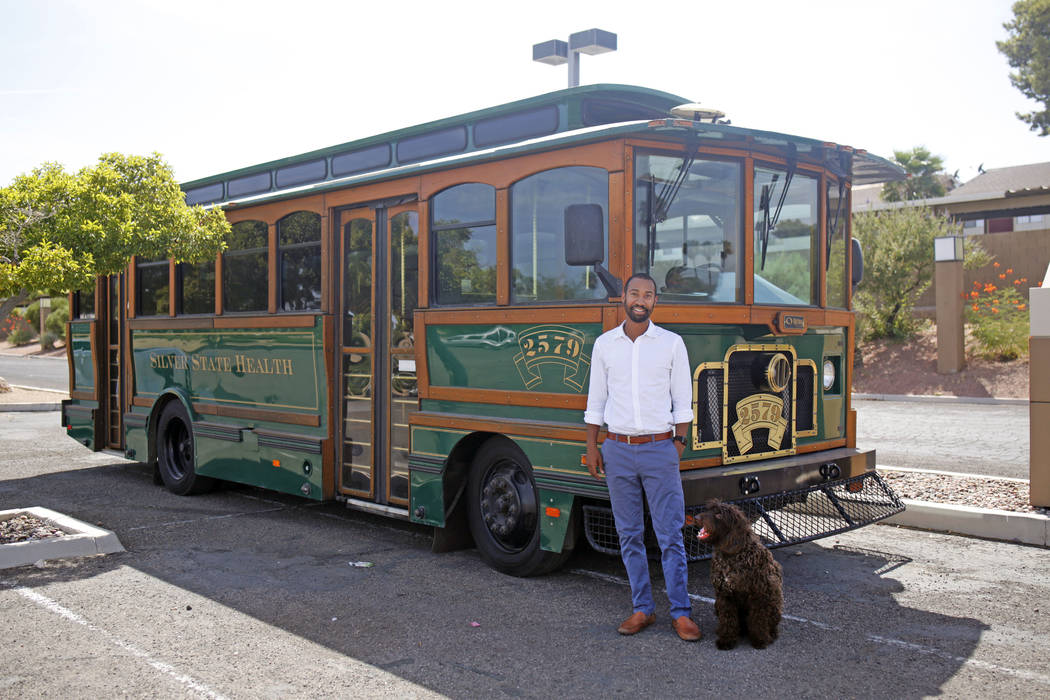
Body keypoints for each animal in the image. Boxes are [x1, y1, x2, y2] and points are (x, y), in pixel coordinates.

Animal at [697, 501, 781, 650]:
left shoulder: (760, 596)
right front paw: (726, 640)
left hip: (774, 604)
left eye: (719, 514)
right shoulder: (725, 596)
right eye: (709, 509)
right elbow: (728, 620)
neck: (731, 555)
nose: (696, 517)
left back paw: (771, 634)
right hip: (717, 604)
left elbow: (758, 620)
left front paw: (760, 640)